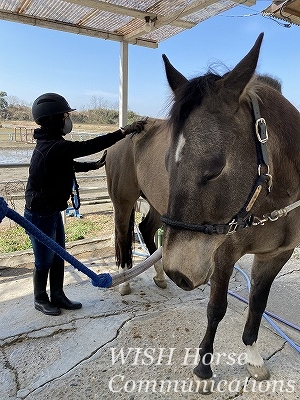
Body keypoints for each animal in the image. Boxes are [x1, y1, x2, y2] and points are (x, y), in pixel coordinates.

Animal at [105, 32, 300, 390]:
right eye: (168, 163)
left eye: (215, 167)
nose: (179, 273)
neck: (272, 199)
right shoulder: (222, 255)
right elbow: (216, 309)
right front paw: (203, 368)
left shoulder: (276, 254)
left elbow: (258, 304)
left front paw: (253, 358)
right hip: (123, 201)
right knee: (123, 234)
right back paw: (125, 278)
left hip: (158, 206)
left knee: (147, 230)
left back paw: (157, 275)